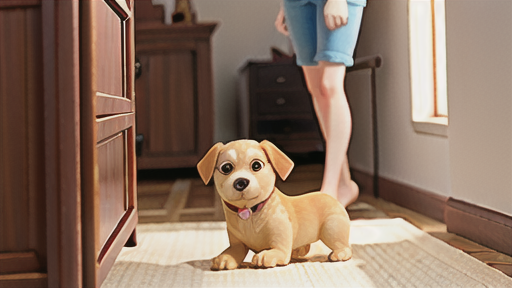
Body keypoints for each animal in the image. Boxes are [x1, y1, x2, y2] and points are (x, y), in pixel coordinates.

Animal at [197, 140, 352, 270]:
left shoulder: (281, 244)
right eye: (226, 168)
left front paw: (266, 256)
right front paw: (225, 257)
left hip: (331, 229)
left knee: (344, 246)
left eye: (256, 165)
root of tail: (330, 196)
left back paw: (339, 254)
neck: (250, 214)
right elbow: (234, 250)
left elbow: (279, 251)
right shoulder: (237, 243)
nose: (240, 182)